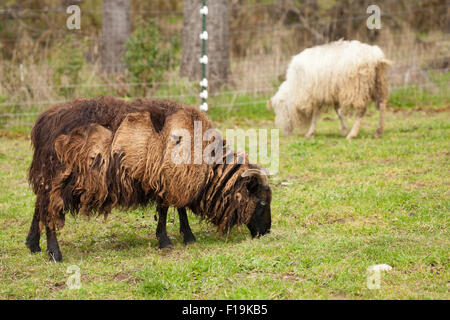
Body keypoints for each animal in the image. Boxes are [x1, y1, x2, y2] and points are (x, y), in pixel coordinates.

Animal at [29, 96, 274, 262]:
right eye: (262, 202)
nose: (267, 232)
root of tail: (43, 123)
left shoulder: (174, 179)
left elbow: (179, 208)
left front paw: (187, 236)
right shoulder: (171, 177)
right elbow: (166, 210)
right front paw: (166, 241)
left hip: (46, 179)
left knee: (39, 207)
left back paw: (32, 245)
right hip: (57, 179)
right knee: (49, 213)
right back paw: (54, 253)